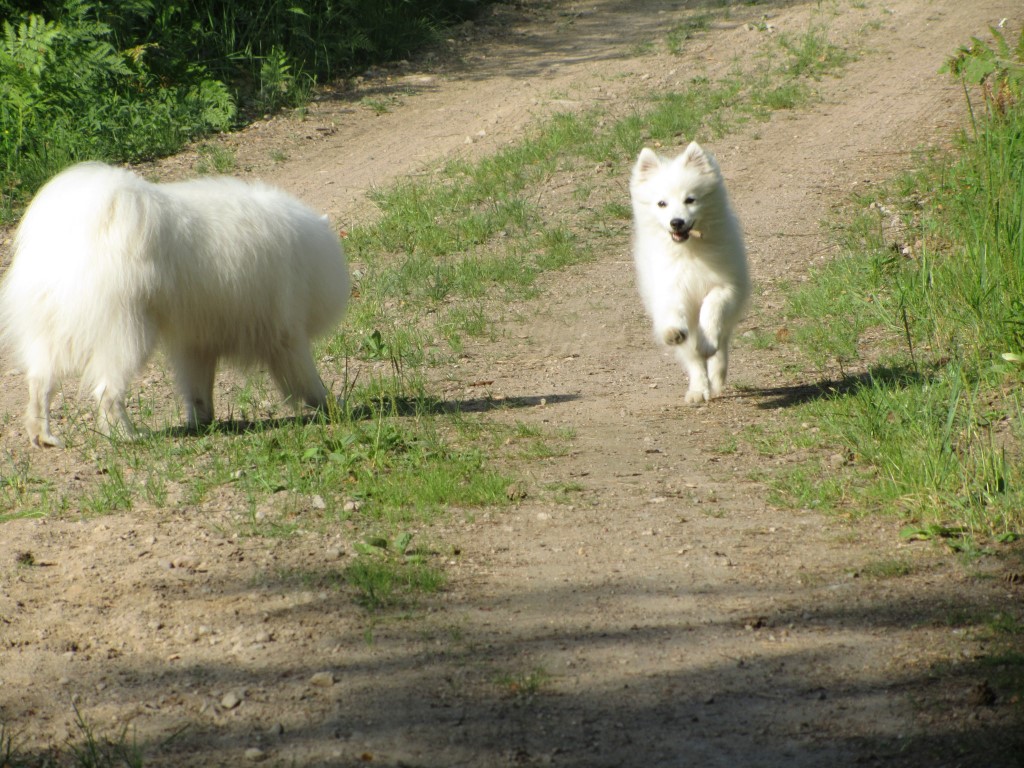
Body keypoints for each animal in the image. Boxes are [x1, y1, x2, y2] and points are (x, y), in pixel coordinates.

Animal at [0, 165, 350, 448]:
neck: (306, 251)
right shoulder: (287, 335)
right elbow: (306, 379)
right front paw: (332, 405)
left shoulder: (196, 344)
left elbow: (198, 391)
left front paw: (202, 422)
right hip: (126, 335)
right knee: (106, 391)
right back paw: (128, 436)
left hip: (50, 338)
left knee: (40, 385)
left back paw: (43, 436)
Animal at [626, 142, 749, 405]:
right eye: (662, 203)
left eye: (690, 200)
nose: (676, 222)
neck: (689, 252)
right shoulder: (671, 287)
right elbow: (675, 312)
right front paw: (673, 331)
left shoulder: (726, 285)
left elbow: (711, 308)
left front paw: (708, 342)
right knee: (693, 359)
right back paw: (697, 390)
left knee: (720, 347)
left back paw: (716, 375)